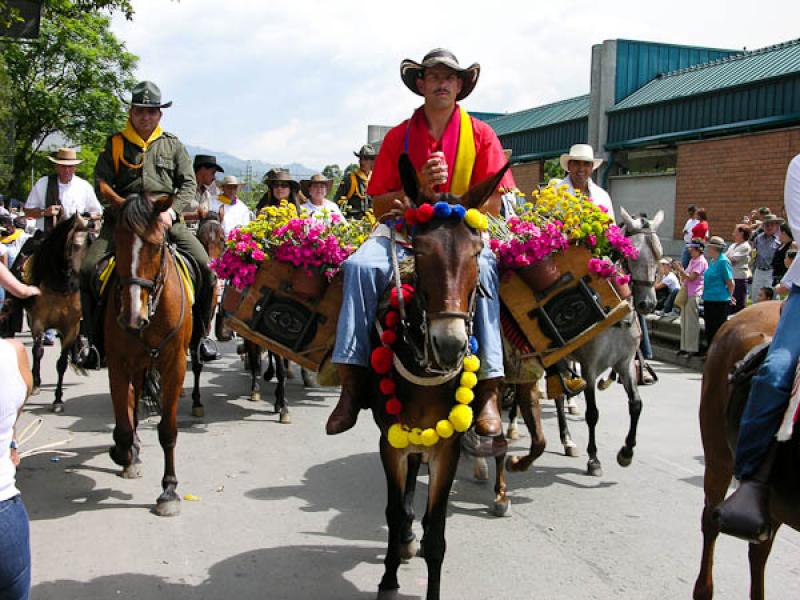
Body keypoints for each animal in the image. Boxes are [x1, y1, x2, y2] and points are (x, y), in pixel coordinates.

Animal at [106, 192, 194, 516]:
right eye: (117, 242)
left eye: (156, 246)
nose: (133, 316)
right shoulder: (117, 363)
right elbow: (122, 425)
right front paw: (123, 452)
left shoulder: (175, 365)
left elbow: (168, 430)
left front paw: (169, 491)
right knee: (131, 405)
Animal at [370, 156, 506, 600]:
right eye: (420, 250)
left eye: (477, 251)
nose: (450, 344)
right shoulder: (389, 440)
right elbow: (394, 511)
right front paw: (389, 578)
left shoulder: (448, 446)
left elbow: (437, 534)